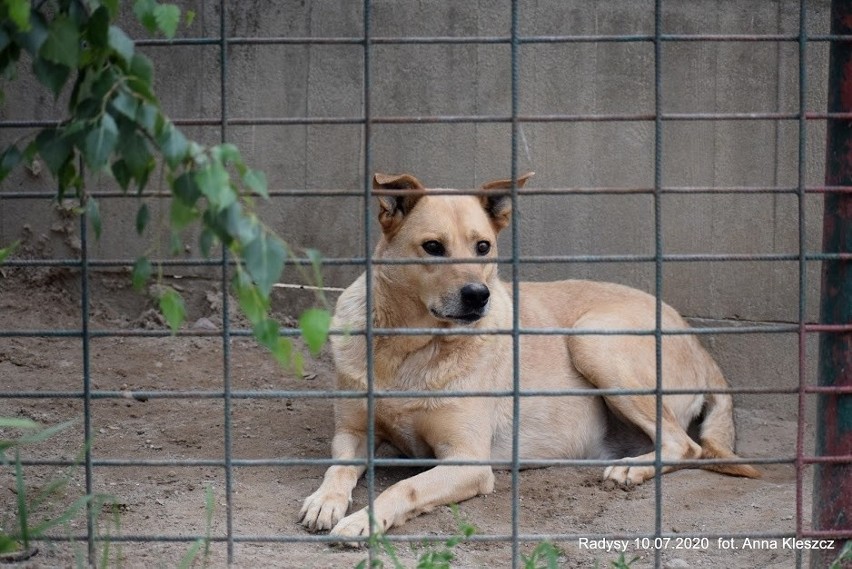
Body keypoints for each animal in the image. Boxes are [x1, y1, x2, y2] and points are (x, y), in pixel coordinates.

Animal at [298, 172, 760, 540]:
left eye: (483, 247)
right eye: (432, 247)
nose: (478, 295)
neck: (409, 348)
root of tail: (695, 339)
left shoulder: (469, 462)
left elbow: (403, 487)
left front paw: (364, 520)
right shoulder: (352, 432)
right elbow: (337, 467)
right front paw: (326, 500)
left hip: (593, 338)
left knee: (685, 446)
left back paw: (631, 468)